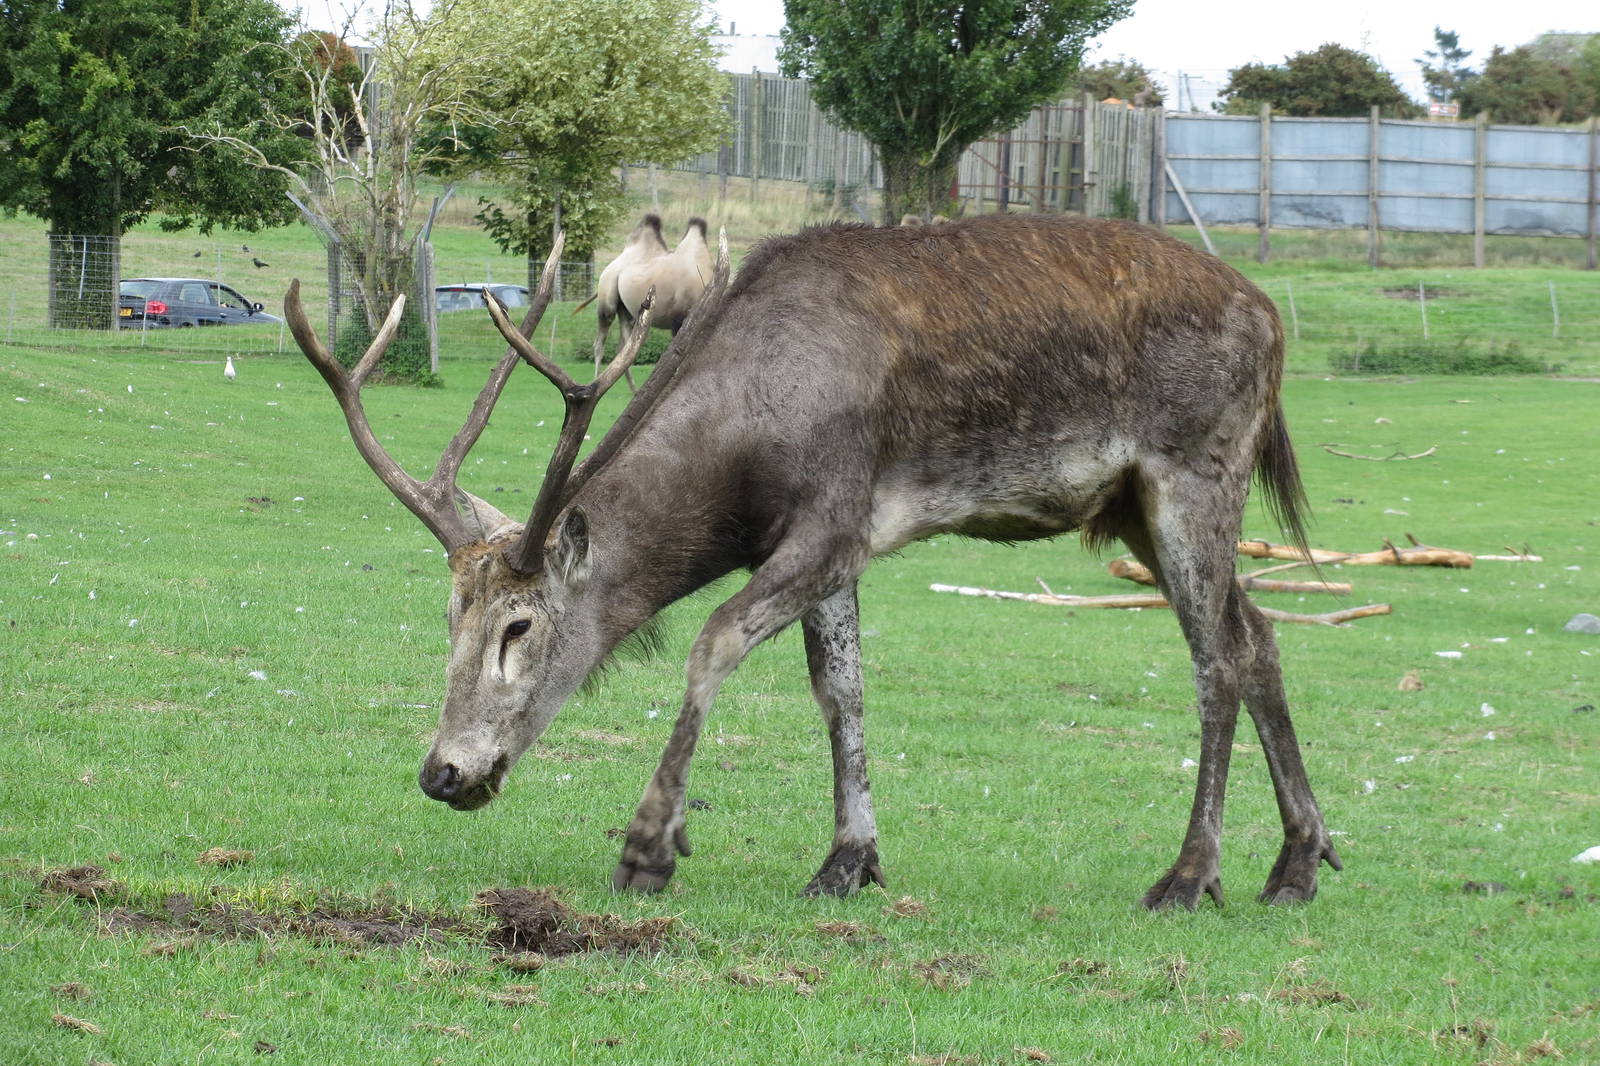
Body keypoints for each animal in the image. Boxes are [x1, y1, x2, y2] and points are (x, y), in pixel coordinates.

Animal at [284, 212, 1342, 910]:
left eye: (520, 625)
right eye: (450, 618)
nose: (443, 772)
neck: (748, 459)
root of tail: (1274, 323)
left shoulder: (833, 523)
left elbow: (712, 638)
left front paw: (651, 845)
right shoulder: (837, 547)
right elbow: (842, 689)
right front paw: (848, 860)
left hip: (1195, 469)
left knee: (1215, 658)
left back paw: (1191, 875)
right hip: (1129, 508)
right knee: (1261, 631)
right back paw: (1297, 861)